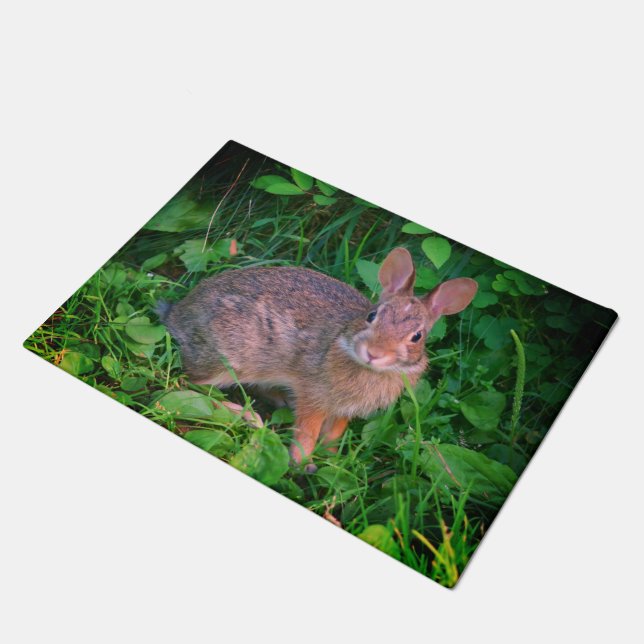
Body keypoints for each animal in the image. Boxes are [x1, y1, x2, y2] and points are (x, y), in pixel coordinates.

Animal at [159, 247, 477, 470]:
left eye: (417, 336)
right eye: (372, 315)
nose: (373, 354)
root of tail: (177, 314)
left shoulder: (343, 410)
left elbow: (334, 434)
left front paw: (332, 460)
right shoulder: (314, 396)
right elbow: (307, 433)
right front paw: (301, 464)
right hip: (229, 358)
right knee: (191, 383)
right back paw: (247, 415)